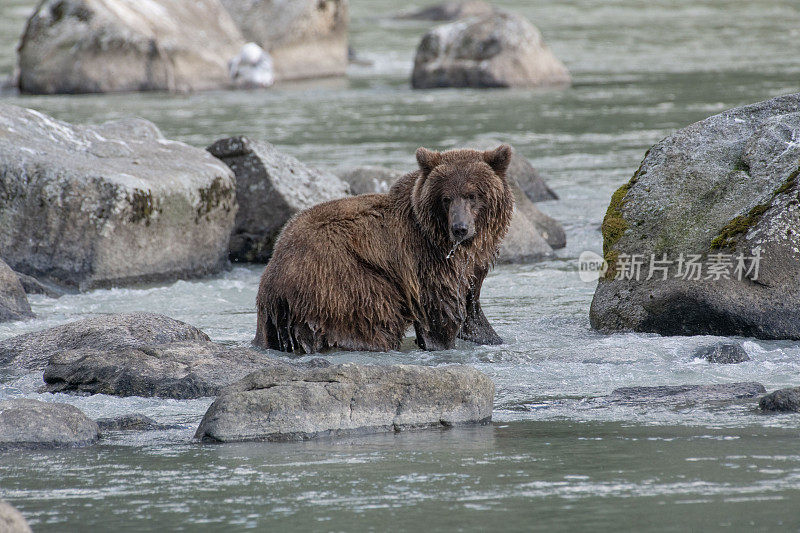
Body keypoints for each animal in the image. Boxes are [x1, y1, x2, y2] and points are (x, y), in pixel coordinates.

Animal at [255, 145, 512, 354]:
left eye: (472, 195)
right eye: (446, 198)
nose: (460, 228)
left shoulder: (472, 266)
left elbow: (472, 309)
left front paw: (490, 337)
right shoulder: (427, 261)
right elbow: (440, 312)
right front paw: (441, 342)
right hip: (340, 281)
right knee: (375, 318)